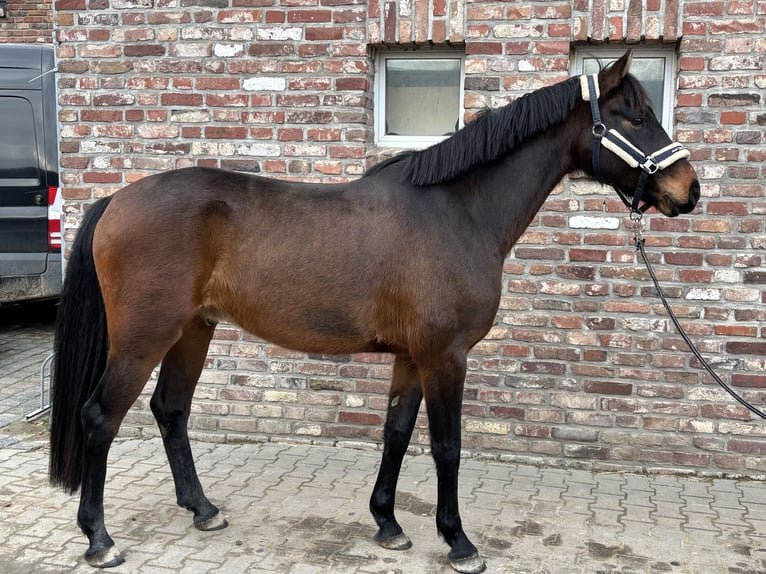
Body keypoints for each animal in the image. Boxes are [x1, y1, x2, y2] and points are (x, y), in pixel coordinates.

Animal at [49, 51, 699, 573]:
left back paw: (203, 510)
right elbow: (446, 445)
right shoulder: (445, 356)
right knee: (100, 418)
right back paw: (100, 539)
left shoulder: (412, 358)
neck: (457, 211)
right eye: (633, 116)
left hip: (193, 331)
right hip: (143, 339)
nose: (689, 190)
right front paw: (458, 541)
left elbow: (396, 433)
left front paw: (387, 524)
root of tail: (117, 199)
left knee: (171, 410)